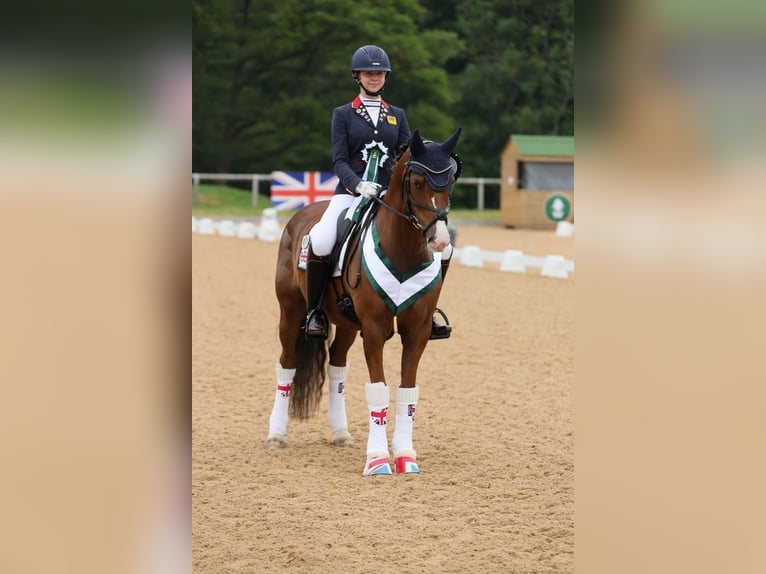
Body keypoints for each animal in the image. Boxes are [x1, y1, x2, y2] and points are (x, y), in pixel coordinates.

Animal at [265, 127, 462, 476]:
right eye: (417, 183)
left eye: (450, 181)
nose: (439, 240)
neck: (405, 251)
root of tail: (302, 214)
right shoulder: (374, 330)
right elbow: (378, 390)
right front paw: (378, 460)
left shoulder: (417, 331)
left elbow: (408, 392)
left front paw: (406, 457)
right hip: (291, 311)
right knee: (287, 364)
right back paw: (276, 435)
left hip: (345, 323)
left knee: (336, 365)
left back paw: (341, 433)